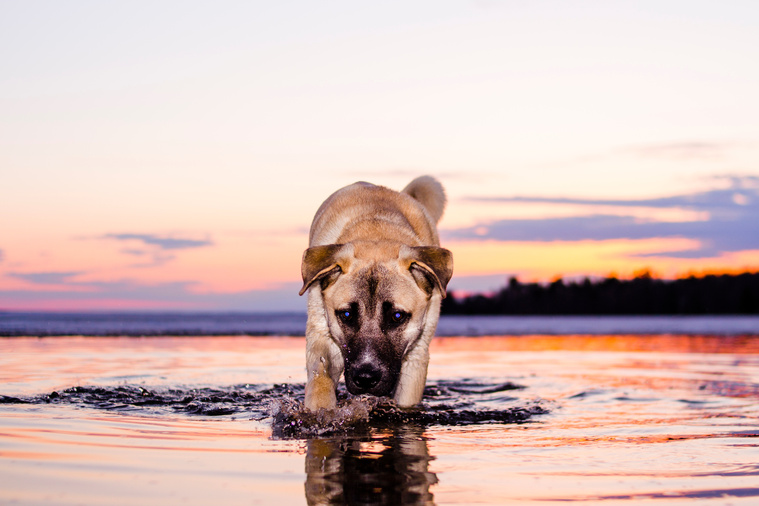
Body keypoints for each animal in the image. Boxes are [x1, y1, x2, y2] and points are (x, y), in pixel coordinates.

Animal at [296, 177, 452, 412]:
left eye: (397, 316)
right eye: (346, 315)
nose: (366, 378)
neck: (376, 229)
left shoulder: (417, 355)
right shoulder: (322, 339)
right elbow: (320, 384)